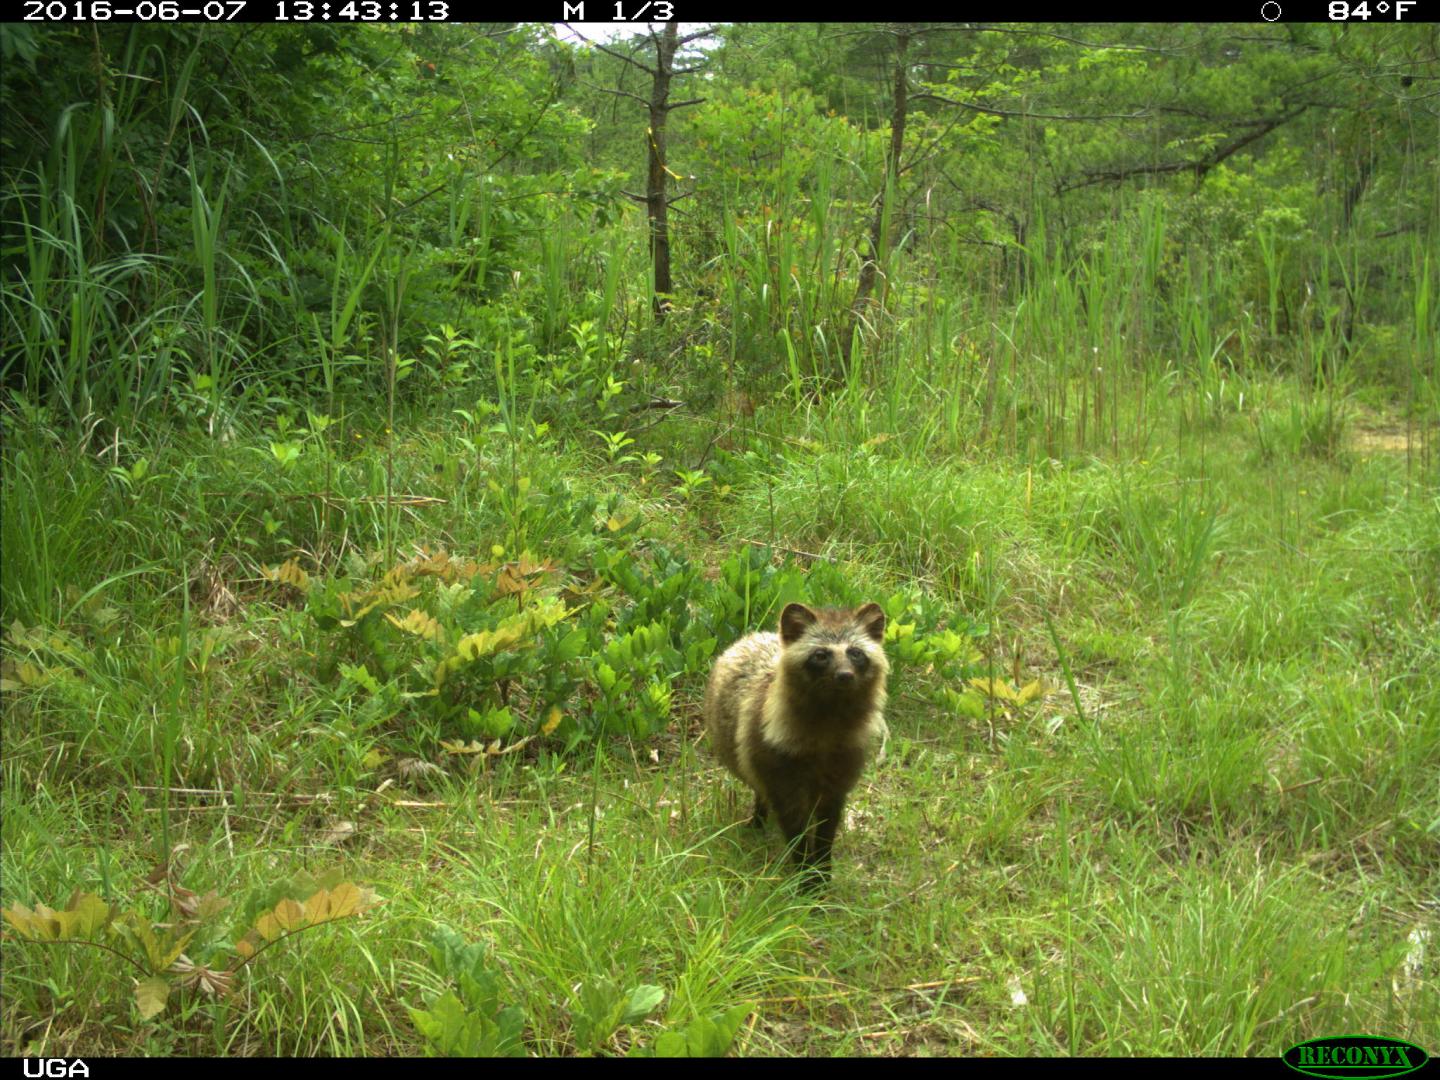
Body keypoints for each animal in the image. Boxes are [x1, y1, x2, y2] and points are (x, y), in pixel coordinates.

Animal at [703, 602, 890, 886]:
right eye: (821, 655)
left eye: (856, 653)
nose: (845, 675)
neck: (830, 718)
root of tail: (753, 635)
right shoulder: (779, 768)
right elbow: (795, 828)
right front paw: (804, 874)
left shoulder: (840, 770)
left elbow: (826, 828)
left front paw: (822, 870)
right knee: (760, 788)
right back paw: (759, 818)